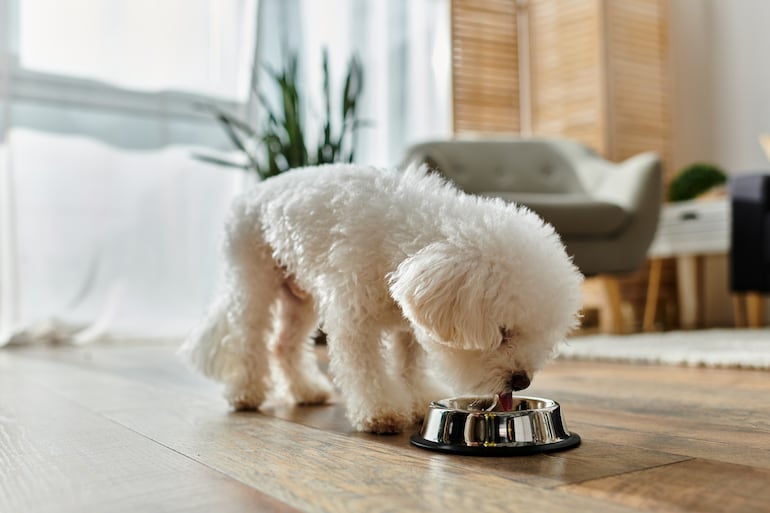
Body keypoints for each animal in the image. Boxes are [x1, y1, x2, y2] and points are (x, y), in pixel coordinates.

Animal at [177, 164, 580, 432]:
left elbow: (410, 364)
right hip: (253, 281)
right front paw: (381, 411)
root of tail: (251, 192)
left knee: (284, 345)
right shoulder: (353, 316)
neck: (406, 237)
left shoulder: (408, 321)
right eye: (502, 333)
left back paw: (307, 389)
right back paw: (245, 393)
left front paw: (417, 399)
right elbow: (366, 368)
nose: (521, 381)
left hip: (300, 297)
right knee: (249, 340)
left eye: (541, 336)